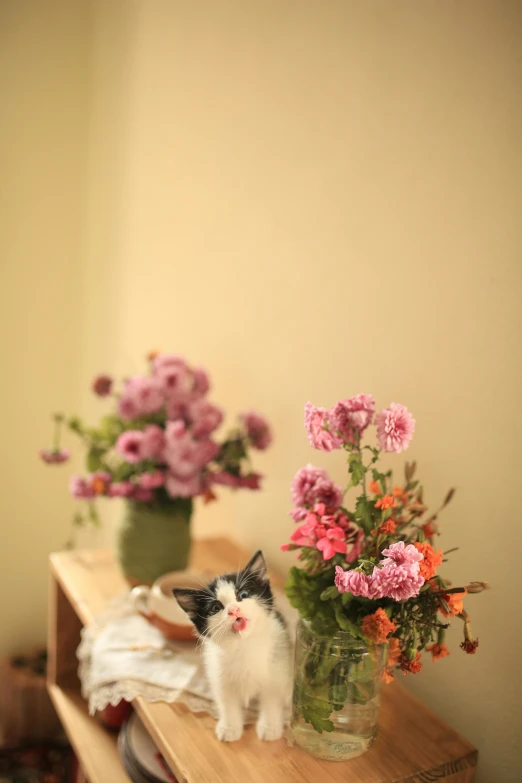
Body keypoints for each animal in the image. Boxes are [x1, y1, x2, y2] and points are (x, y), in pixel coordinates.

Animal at [172, 548, 290, 744]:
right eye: (216, 607)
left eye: (243, 595)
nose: (234, 610)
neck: (243, 644)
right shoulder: (220, 675)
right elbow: (228, 703)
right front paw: (230, 727)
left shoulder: (276, 669)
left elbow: (272, 699)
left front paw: (270, 727)